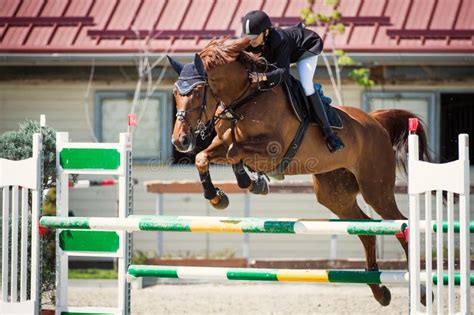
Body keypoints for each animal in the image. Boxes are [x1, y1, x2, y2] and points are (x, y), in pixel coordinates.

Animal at [167, 36, 430, 306]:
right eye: (175, 93)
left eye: (197, 91)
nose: (180, 141)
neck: (244, 99)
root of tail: (375, 121)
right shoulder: (223, 142)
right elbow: (205, 157)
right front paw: (218, 197)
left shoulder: (273, 150)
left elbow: (234, 152)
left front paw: (249, 183)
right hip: (334, 195)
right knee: (366, 231)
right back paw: (380, 291)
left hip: (376, 190)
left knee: (401, 226)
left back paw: (421, 292)